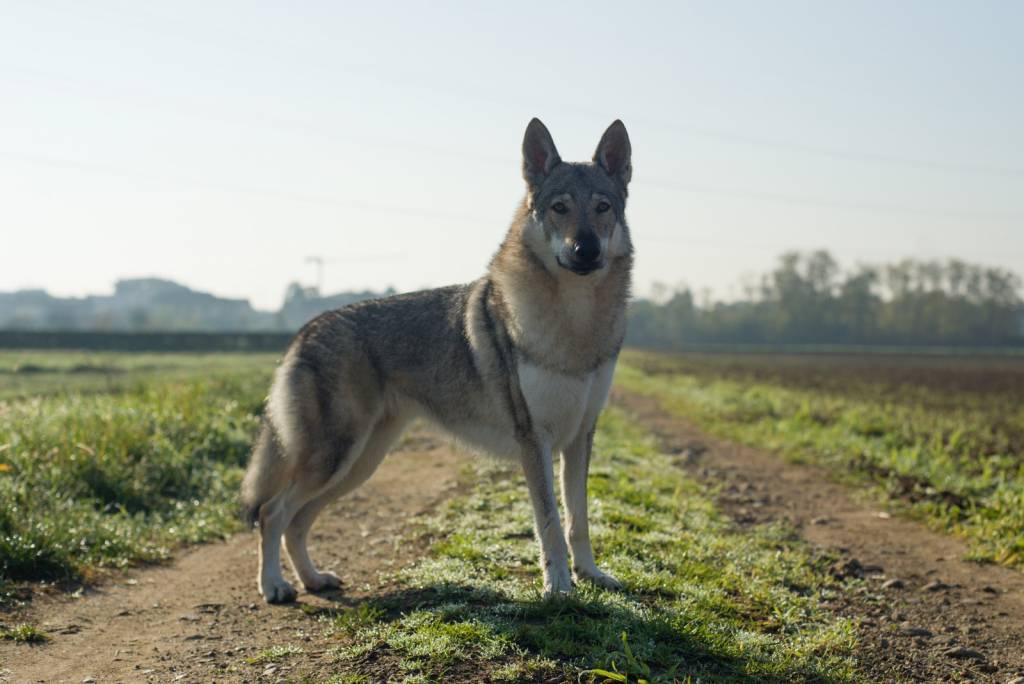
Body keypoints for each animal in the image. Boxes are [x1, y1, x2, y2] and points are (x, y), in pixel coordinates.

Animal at [241, 118, 634, 603]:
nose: (586, 250)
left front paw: (591, 575)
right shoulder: (535, 440)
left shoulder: (580, 436)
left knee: (296, 521)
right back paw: (274, 587)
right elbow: (551, 525)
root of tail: (306, 329)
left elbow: (579, 521)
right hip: (336, 459)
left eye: (602, 207)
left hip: (358, 464)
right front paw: (559, 587)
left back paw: (314, 580)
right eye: (560, 208)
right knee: (271, 512)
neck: (575, 323)